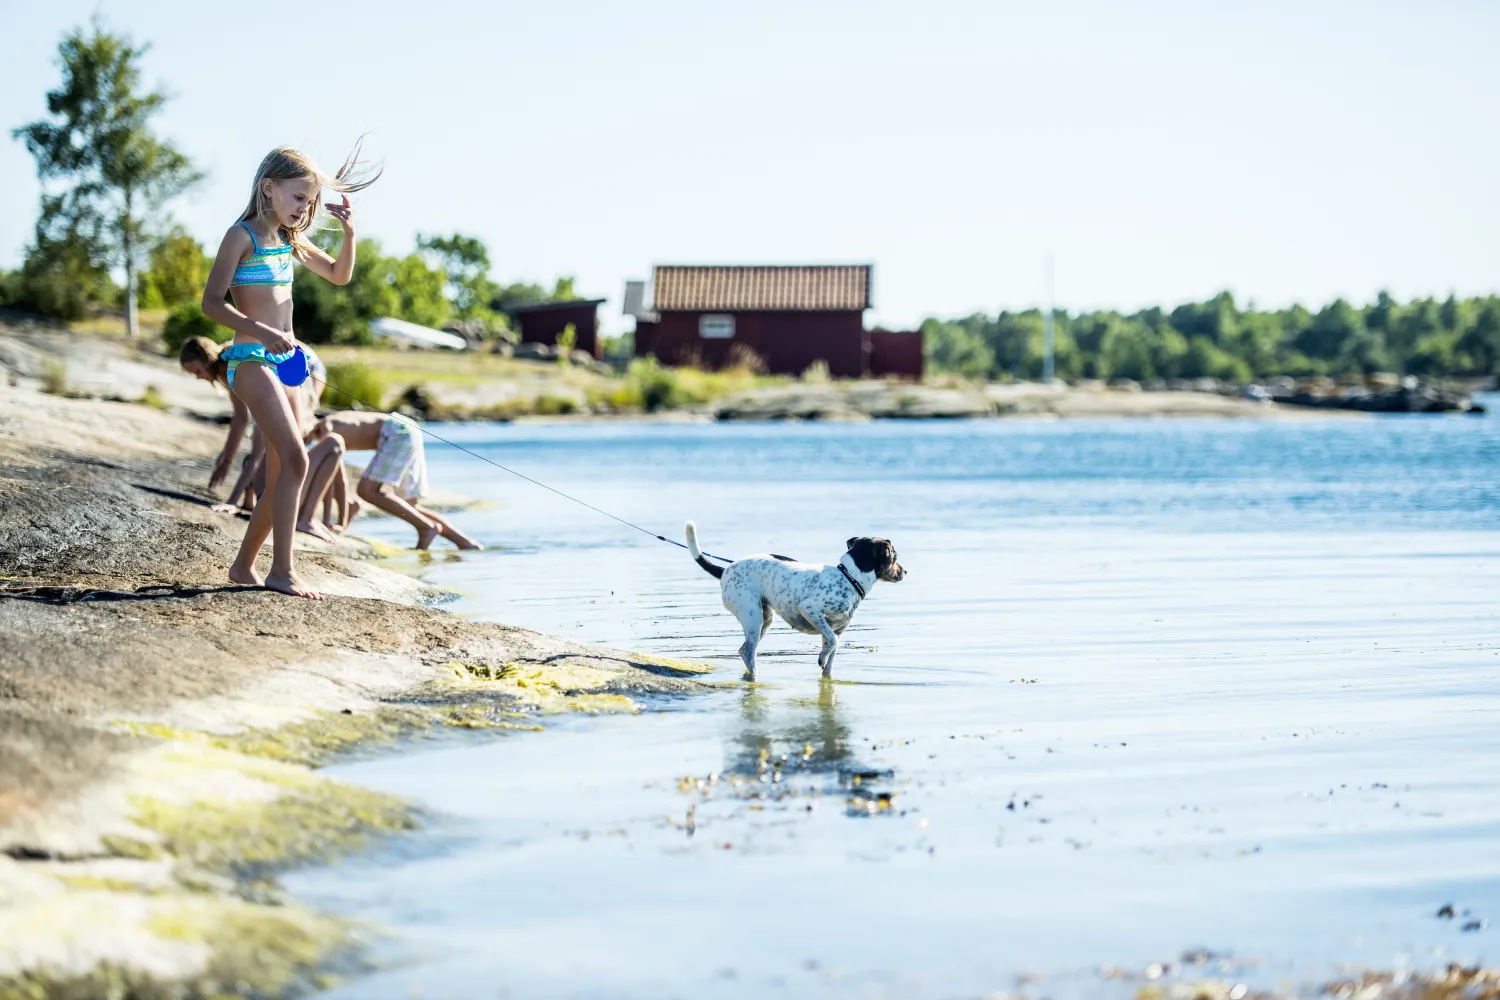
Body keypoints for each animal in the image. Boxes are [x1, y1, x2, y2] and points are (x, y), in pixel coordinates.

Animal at [687, 524, 906, 680]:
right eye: (894, 557)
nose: (905, 571)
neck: (849, 577)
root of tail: (725, 570)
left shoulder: (837, 629)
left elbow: (831, 655)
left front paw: (826, 670)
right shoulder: (810, 610)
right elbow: (832, 643)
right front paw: (821, 657)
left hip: (765, 619)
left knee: (743, 650)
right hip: (753, 618)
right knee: (748, 652)